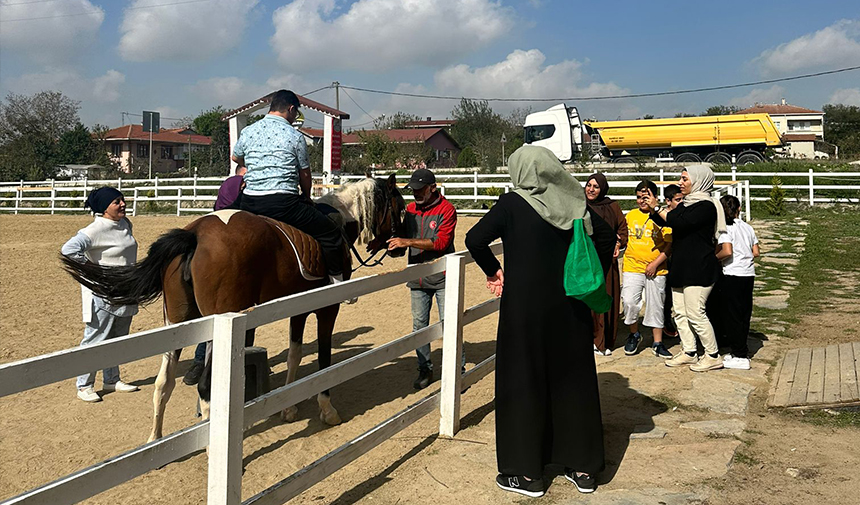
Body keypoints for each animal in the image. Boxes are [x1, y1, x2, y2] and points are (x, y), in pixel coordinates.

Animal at [63, 174, 406, 440]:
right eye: (400, 208)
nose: (399, 247)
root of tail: (194, 234)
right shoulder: (326, 308)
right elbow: (323, 358)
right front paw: (327, 409)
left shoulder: (297, 308)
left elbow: (295, 354)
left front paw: (289, 407)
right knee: (204, 385)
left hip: (177, 324)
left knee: (164, 383)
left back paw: (155, 439)